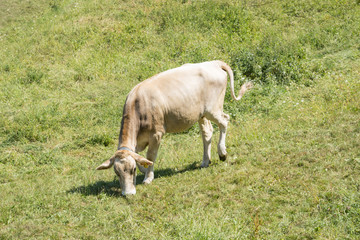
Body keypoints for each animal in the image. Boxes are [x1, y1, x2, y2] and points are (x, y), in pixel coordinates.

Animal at [97, 60, 252, 195]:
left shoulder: (157, 133)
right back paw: (205, 161)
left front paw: (148, 177)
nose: (128, 193)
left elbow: (150, 156)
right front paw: (145, 171)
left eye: (132, 170)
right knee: (207, 133)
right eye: (117, 172)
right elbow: (142, 158)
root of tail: (213, 63)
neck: (139, 105)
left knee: (224, 121)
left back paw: (222, 153)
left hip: (213, 109)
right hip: (201, 114)